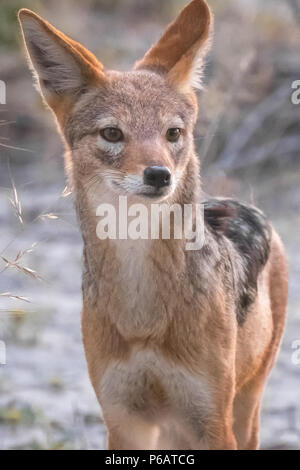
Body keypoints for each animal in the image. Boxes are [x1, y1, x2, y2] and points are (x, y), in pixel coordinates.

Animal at [18, 0, 288, 450]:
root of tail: (241, 205)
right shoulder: (123, 421)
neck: (142, 314)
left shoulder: (212, 422)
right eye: (112, 134)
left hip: (243, 411)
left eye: (172, 133)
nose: (159, 175)